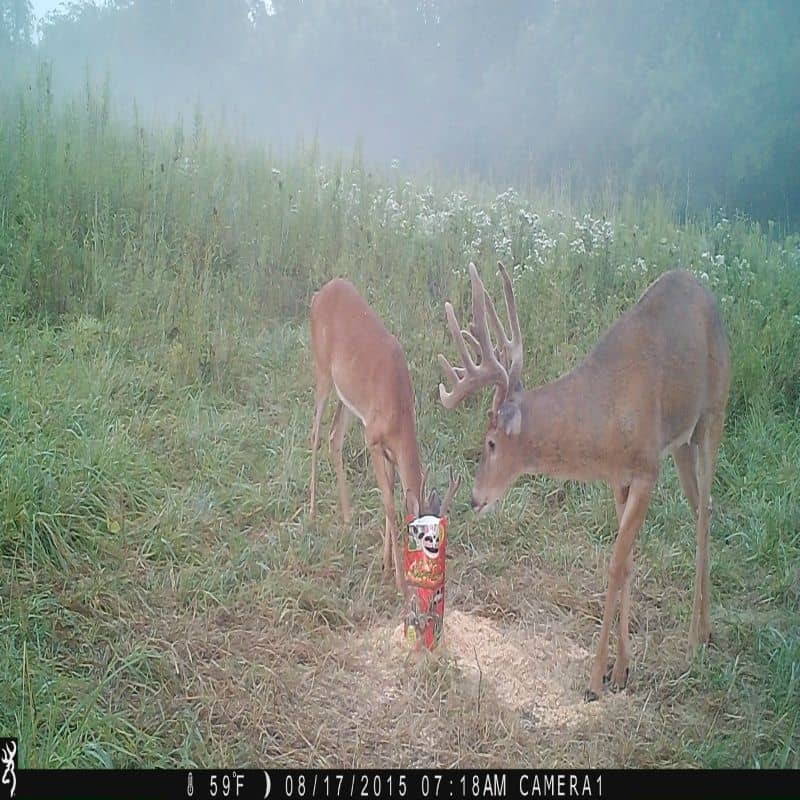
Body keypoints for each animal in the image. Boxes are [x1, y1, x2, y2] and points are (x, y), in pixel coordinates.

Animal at [309, 277, 460, 594]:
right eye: (422, 536)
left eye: (442, 535)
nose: (433, 570)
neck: (399, 407)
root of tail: (319, 293)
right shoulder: (373, 439)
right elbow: (390, 504)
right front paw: (399, 580)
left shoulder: (390, 449)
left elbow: (393, 492)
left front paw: (386, 562)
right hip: (322, 370)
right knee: (315, 432)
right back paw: (312, 513)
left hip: (347, 396)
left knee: (334, 436)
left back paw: (347, 517)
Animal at [438, 261, 730, 700]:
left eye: (490, 443)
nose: (474, 499)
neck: (603, 417)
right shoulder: (618, 478)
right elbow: (627, 561)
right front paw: (622, 668)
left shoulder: (647, 469)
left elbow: (615, 563)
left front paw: (595, 677)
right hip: (682, 441)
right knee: (701, 508)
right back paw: (703, 629)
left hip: (714, 414)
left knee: (705, 514)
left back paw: (698, 636)